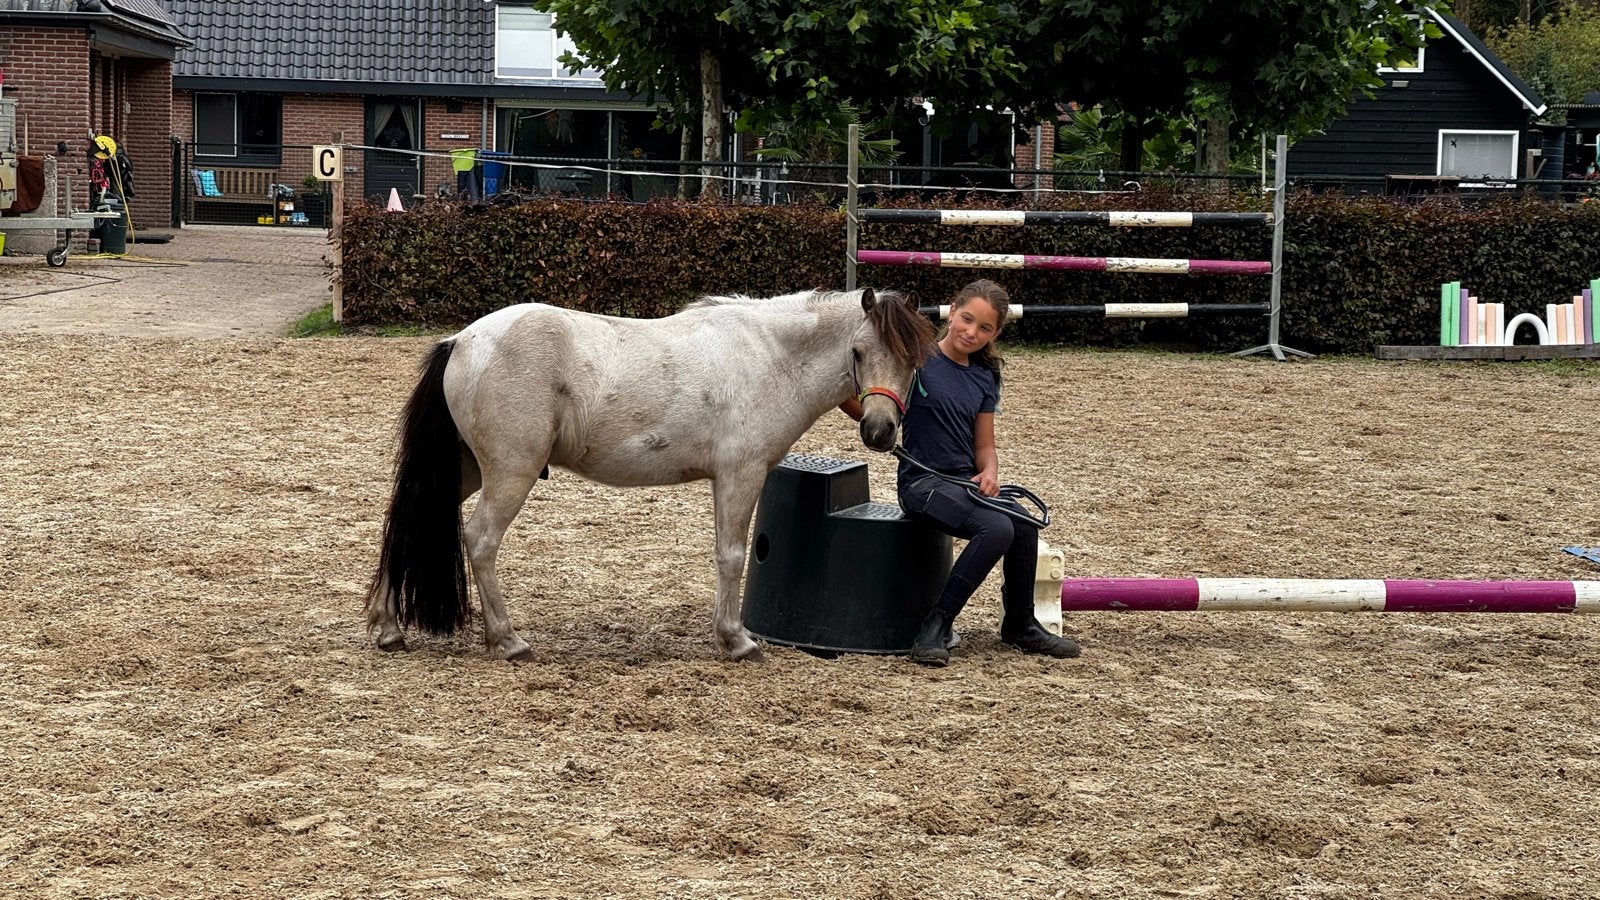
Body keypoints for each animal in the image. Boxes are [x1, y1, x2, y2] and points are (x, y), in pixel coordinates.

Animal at [365, 287, 936, 662]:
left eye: (914, 360)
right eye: (859, 352)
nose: (880, 431)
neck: (771, 356)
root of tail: (462, 340)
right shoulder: (741, 475)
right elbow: (731, 556)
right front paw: (737, 641)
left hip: (465, 471)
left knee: (409, 523)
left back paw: (389, 628)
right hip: (510, 473)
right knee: (481, 541)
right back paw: (508, 641)